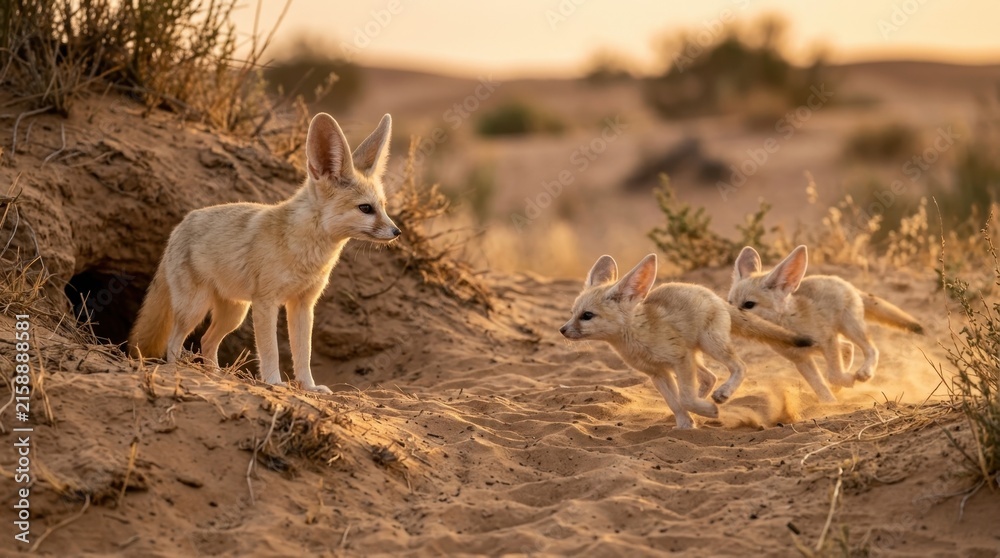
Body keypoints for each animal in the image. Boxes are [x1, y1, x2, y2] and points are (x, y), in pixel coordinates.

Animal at [129, 112, 401, 393]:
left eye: (383, 207)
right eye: (366, 209)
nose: (397, 232)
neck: (306, 251)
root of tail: (180, 225)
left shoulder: (303, 304)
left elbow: (303, 353)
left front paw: (309, 387)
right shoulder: (266, 302)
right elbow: (271, 350)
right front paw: (273, 382)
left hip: (234, 315)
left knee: (206, 340)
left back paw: (216, 377)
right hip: (196, 309)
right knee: (173, 342)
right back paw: (178, 372)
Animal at [560, 254, 813, 429]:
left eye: (587, 316)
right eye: (573, 313)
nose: (562, 330)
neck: (639, 335)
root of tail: (719, 299)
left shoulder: (678, 360)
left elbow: (684, 397)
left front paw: (708, 411)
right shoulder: (658, 373)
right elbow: (676, 401)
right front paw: (685, 423)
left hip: (710, 346)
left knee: (739, 366)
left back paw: (722, 394)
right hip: (695, 355)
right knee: (709, 377)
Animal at [728, 245, 924, 403]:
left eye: (748, 305)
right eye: (729, 302)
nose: (728, 318)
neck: (789, 323)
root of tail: (844, 282)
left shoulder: (827, 341)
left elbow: (833, 375)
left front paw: (845, 381)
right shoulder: (800, 358)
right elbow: (819, 385)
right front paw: (829, 403)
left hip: (850, 328)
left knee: (870, 349)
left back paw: (863, 372)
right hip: (831, 341)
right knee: (848, 348)